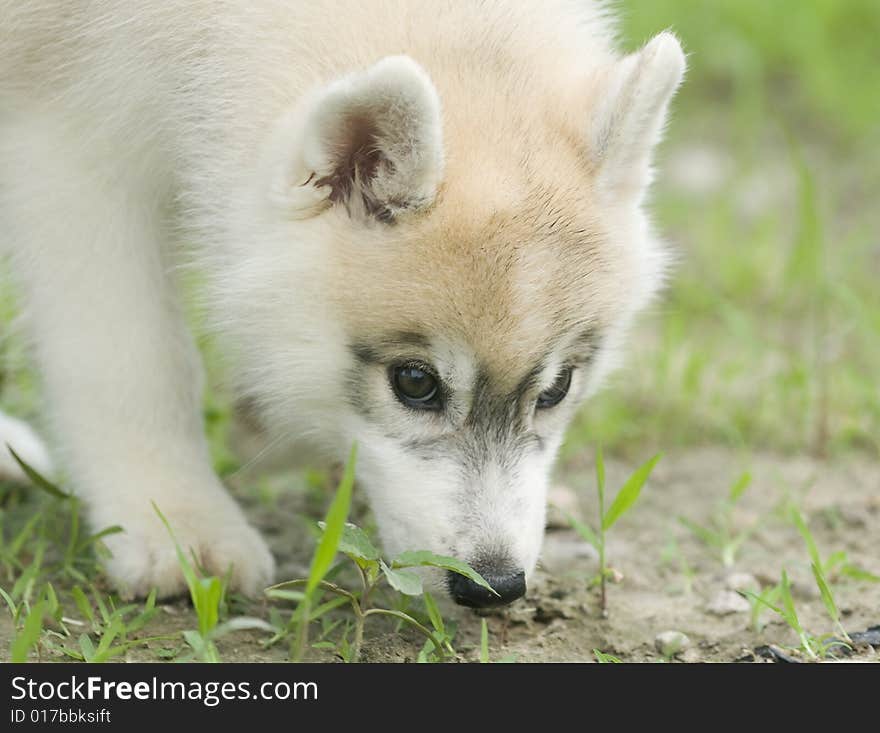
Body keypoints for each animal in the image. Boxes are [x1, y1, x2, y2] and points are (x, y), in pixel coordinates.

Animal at [0, 2, 684, 604]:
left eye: (557, 389)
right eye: (415, 383)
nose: (495, 588)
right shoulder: (72, 149)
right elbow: (133, 360)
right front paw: (175, 523)